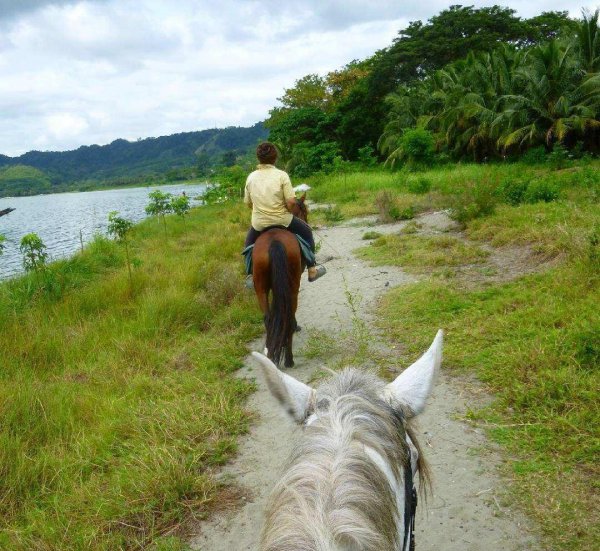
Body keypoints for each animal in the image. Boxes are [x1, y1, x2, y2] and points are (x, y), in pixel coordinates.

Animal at [252, 194, 310, 366]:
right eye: (305, 211)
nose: (307, 222)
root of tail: (275, 241)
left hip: (260, 287)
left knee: (269, 318)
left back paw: (271, 353)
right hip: (293, 285)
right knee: (288, 316)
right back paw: (289, 359)